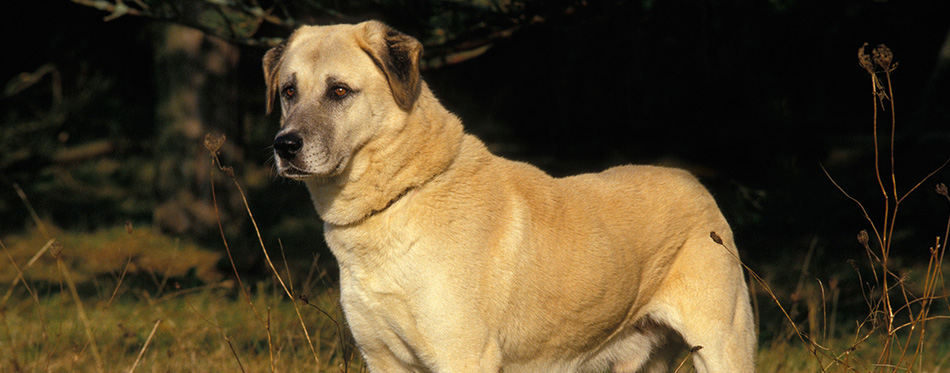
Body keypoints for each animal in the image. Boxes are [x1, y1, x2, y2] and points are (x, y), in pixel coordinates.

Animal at [264, 21, 756, 372]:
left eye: (339, 90)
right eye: (288, 91)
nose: (284, 146)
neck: (401, 195)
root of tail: (694, 183)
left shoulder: (463, 355)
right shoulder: (383, 359)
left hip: (723, 344)